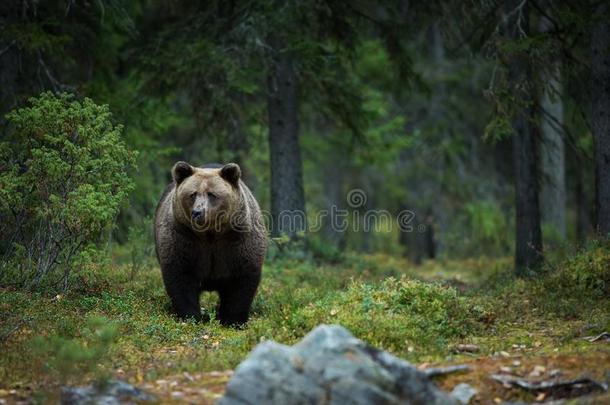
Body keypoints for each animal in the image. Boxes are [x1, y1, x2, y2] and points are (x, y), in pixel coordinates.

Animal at [153, 161, 264, 326]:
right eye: (192, 194)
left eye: (212, 194)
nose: (198, 212)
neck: (210, 233)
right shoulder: (183, 238)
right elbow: (180, 276)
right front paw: (190, 317)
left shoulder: (238, 240)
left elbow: (242, 279)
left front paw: (234, 320)